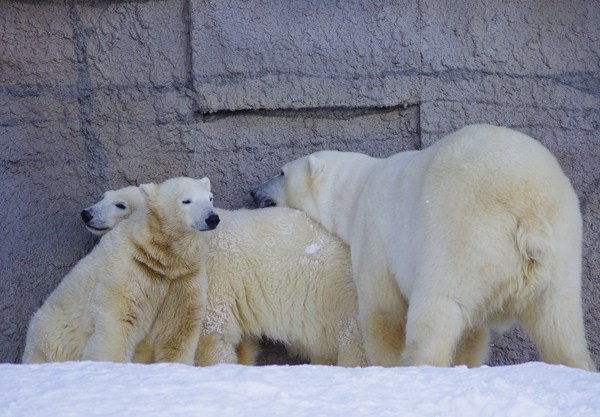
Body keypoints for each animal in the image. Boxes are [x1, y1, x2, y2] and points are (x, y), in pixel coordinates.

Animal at [24, 176, 220, 364]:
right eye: (186, 201)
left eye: (210, 198)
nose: (212, 218)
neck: (161, 257)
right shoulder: (130, 269)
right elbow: (117, 320)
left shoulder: (184, 279)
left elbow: (178, 329)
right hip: (53, 337)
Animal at [252, 123, 596, 370]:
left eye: (281, 171)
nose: (254, 191)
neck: (356, 189)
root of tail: (526, 206)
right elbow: (471, 333)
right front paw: (465, 364)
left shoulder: (373, 230)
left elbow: (383, 310)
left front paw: (386, 364)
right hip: (562, 240)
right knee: (559, 321)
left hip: (461, 232)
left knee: (439, 305)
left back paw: (419, 366)